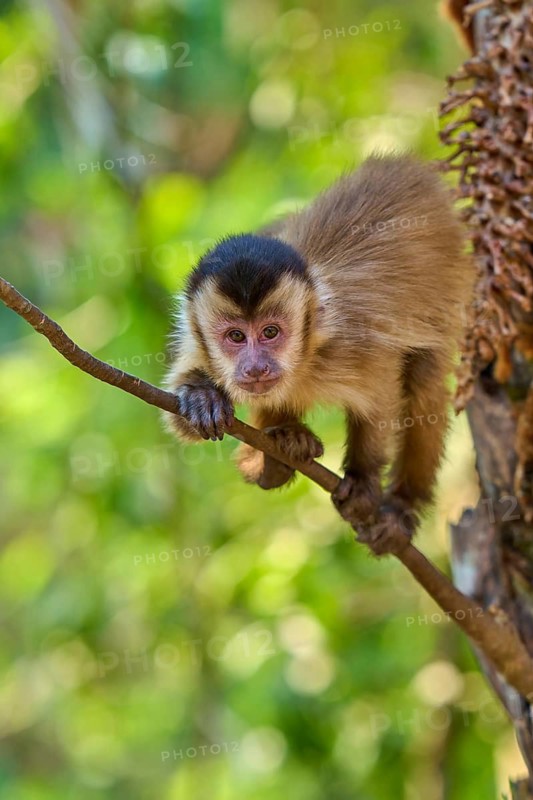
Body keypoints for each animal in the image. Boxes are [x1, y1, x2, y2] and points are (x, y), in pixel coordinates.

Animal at [162, 155, 473, 541]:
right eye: (235, 337)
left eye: (270, 332)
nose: (255, 367)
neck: (307, 356)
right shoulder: (195, 340)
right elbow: (181, 420)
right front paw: (202, 397)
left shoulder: (354, 342)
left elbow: (382, 398)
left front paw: (363, 480)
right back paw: (273, 459)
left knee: (423, 383)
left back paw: (401, 505)